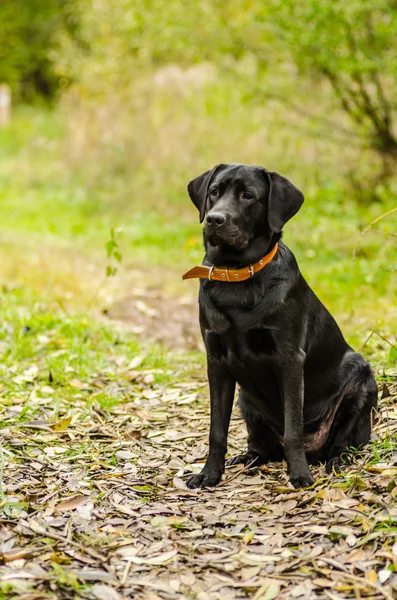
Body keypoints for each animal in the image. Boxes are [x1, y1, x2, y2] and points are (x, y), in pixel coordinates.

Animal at [183, 163, 374, 488]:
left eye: (248, 195)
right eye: (214, 192)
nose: (214, 219)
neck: (238, 277)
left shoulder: (289, 358)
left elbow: (293, 429)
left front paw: (299, 474)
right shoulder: (216, 361)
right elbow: (216, 430)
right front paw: (209, 473)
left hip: (361, 383)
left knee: (340, 444)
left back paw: (335, 462)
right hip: (247, 401)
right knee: (262, 447)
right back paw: (247, 459)